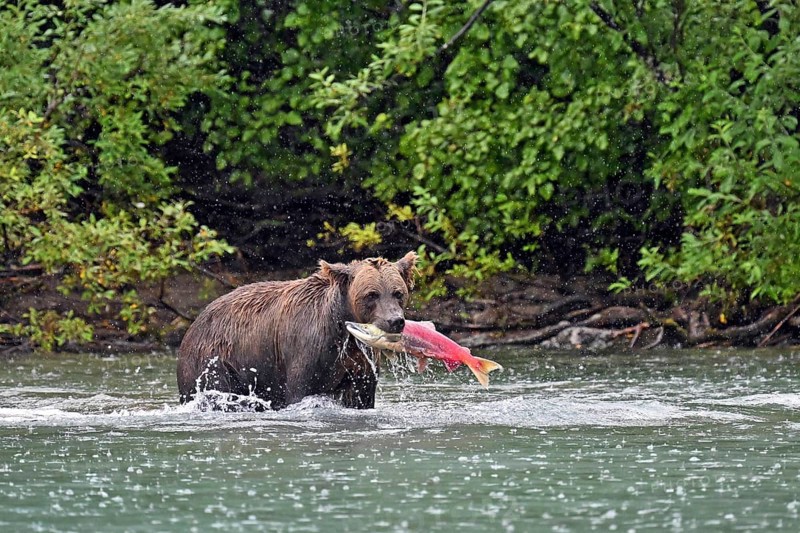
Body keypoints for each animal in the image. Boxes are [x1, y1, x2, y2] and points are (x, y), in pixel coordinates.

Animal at [176, 252, 417, 410]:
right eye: (371, 294)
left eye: (397, 292)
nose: (394, 321)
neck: (343, 330)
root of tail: (194, 324)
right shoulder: (306, 351)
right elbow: (300, 389)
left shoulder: (359, 362)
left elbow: (361, 395)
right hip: (215, 360)